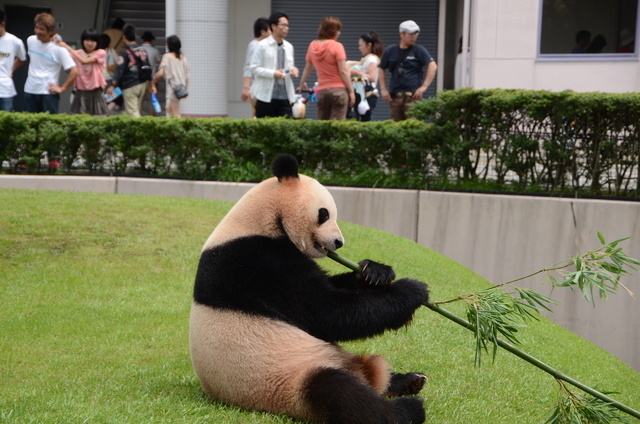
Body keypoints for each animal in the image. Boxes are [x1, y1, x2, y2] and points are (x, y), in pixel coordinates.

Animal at [189, 156, 430, 424]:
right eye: (324, 214)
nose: (338, 243)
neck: (257, 220)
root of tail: (361, 373)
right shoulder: (256, 264)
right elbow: (327, 312)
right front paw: (413, 290)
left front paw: (376, 272)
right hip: (287, 381)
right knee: (338, 391)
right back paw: (407, 409)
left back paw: (408, 380)